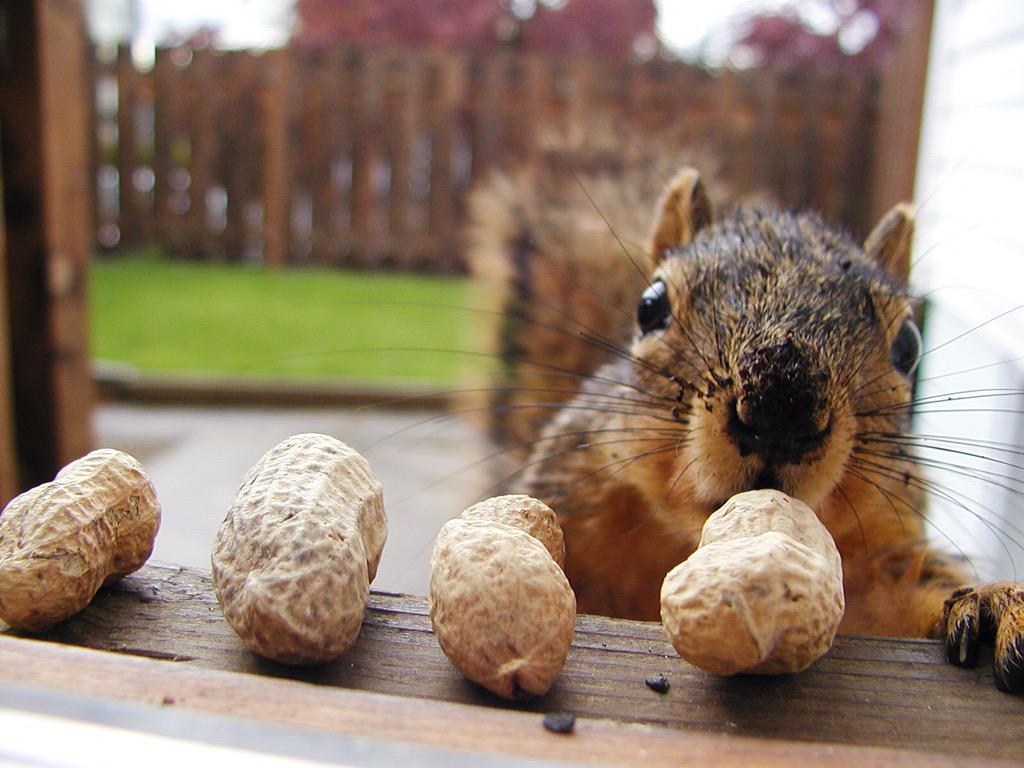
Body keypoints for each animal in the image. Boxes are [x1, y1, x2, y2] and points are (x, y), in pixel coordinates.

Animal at [466, 153, 1024, 693]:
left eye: (909, 344)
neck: (693, 545)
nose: (781, 413)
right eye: (650, 306)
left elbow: (908, 592)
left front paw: (992, 605)